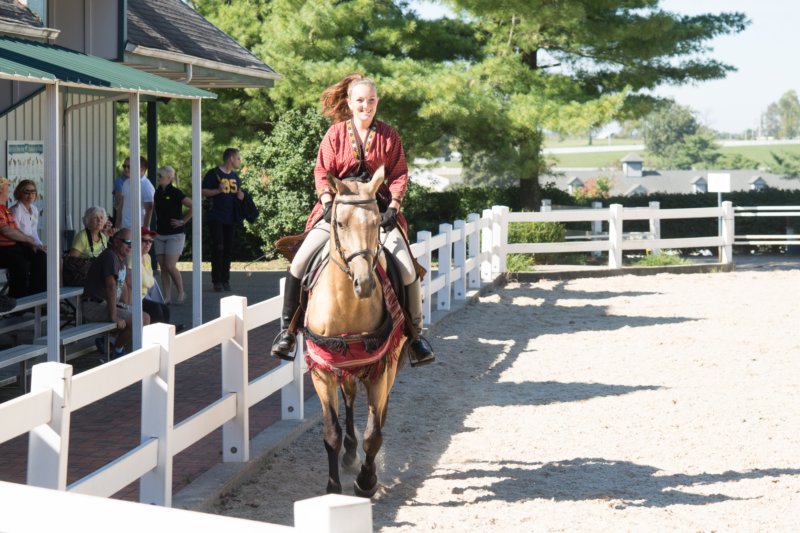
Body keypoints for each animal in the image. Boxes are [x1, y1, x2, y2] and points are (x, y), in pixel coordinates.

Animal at [304, 167, 410, 498]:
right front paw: (333, 489)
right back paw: (350, 453)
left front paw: (366, 481)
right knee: (349, 400)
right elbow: (331, 431)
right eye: (339, 222)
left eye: (377, 222)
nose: (363, 283)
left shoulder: (381, 368)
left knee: (378, 412)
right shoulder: (322, 369)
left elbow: (373, 433)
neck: (346, 306)